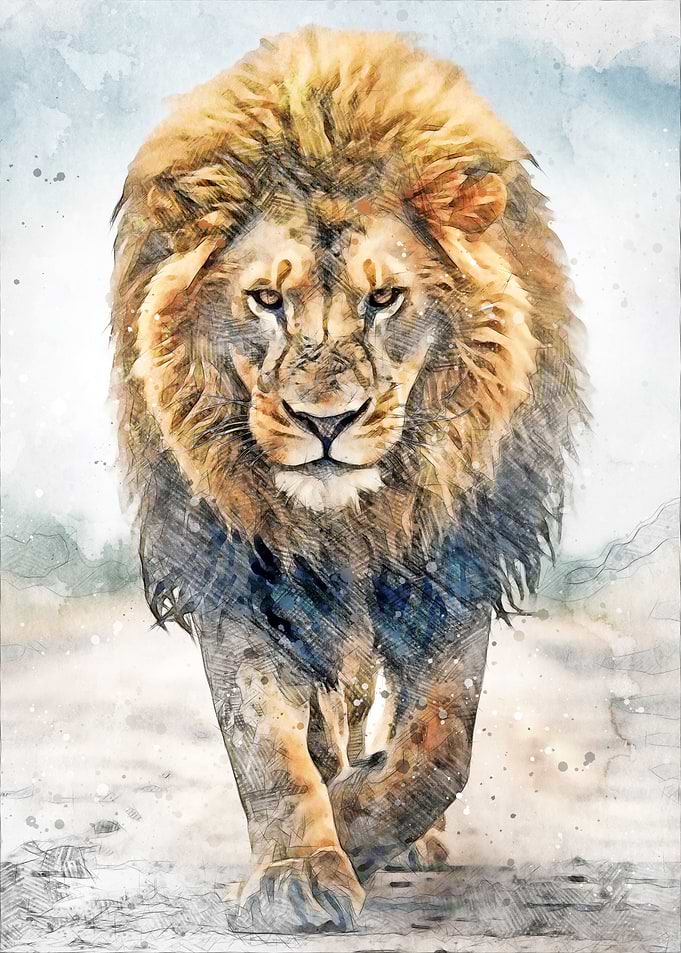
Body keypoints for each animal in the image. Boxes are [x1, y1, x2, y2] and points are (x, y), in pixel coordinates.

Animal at [110, 27, 585, 933]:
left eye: (385, 298)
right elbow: (261, 735)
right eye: (265, 298)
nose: (324, 420)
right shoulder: (238, 565)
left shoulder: (448, 560)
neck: (348, 522)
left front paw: (362, 823)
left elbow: (438, 745)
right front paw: (294, 873)